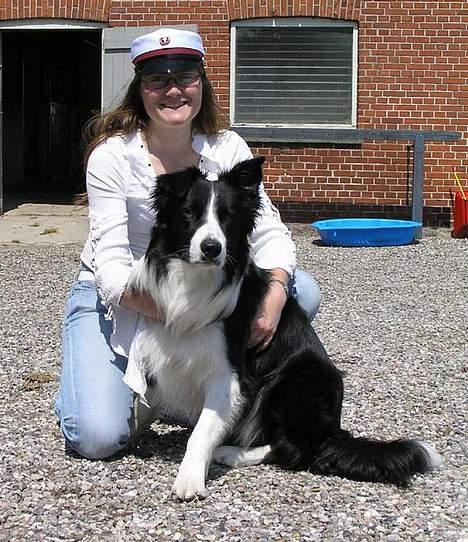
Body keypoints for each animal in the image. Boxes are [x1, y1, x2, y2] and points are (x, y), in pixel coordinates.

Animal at [127, 156, 438, 502]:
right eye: (189, 213)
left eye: (227, 217)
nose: (211, 248)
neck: (195, 280)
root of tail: (332, 430)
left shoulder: (228, 375)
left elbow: (202, 430)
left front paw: (189, 479)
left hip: (290, 381)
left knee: (295, 450)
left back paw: (230, 452)